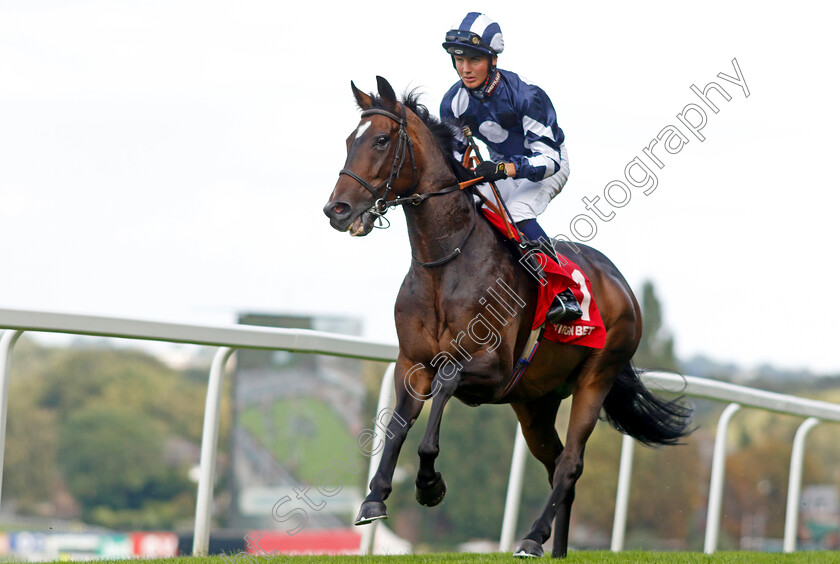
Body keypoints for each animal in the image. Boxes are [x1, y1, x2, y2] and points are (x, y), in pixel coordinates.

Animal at [322, 77, 688, 556]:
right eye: (351, 140)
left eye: (381, 140)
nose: (337, 210)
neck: (445, 265)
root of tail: (620, 284)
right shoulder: (412, 362)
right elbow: (399, 424)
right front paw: (374, 498)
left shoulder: (491, 370)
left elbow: (446, 384)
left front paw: (429, 485)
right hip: (535, 400)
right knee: (557, 465)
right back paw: (556, 549)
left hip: (596, 377)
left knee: (571, 463)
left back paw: (532, 538)